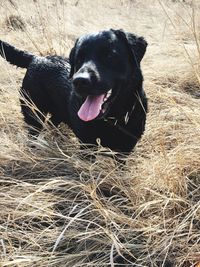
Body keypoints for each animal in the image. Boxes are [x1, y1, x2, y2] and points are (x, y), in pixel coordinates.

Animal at [0, 29, 147, 154]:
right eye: (78, 58)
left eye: (110, 55)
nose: (79, 81)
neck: (114, 118)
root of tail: (36, 58)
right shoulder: (87, 146)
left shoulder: (125, 149)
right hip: (33, 113)